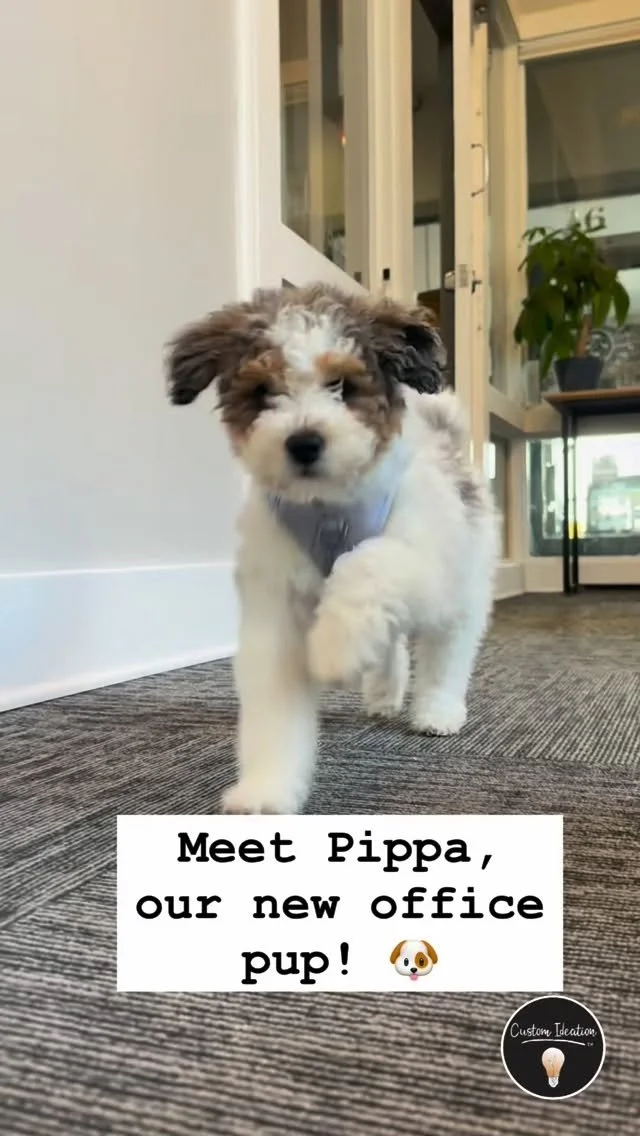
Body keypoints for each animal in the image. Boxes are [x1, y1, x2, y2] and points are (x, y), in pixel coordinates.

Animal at [167, 283, 499, 814]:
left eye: (341, 385)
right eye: (262, 392)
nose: (303, 442)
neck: (326, 507)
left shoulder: (424, 562)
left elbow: (364, 562)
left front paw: (333, 650)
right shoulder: (274, 606)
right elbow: (274, 710)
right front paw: (267, 789)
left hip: (463, 585)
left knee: (447, 651)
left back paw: (436, 709)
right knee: (392, 642)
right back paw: (382, 693)